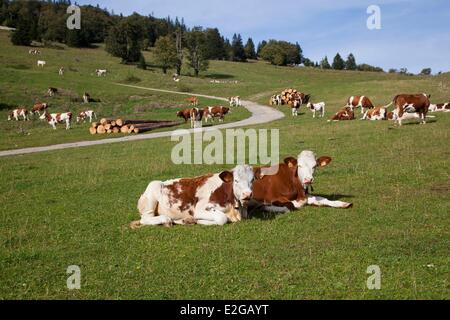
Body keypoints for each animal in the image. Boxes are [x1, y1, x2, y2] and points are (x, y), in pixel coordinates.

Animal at [130, 165, 262, 228]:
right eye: (236, 180)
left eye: (252, 180)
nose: (247, 194)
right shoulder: (199, 209)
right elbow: (221, 218)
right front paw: (199, 221)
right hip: (152, 190)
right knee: (145, 219)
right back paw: (166, 220)